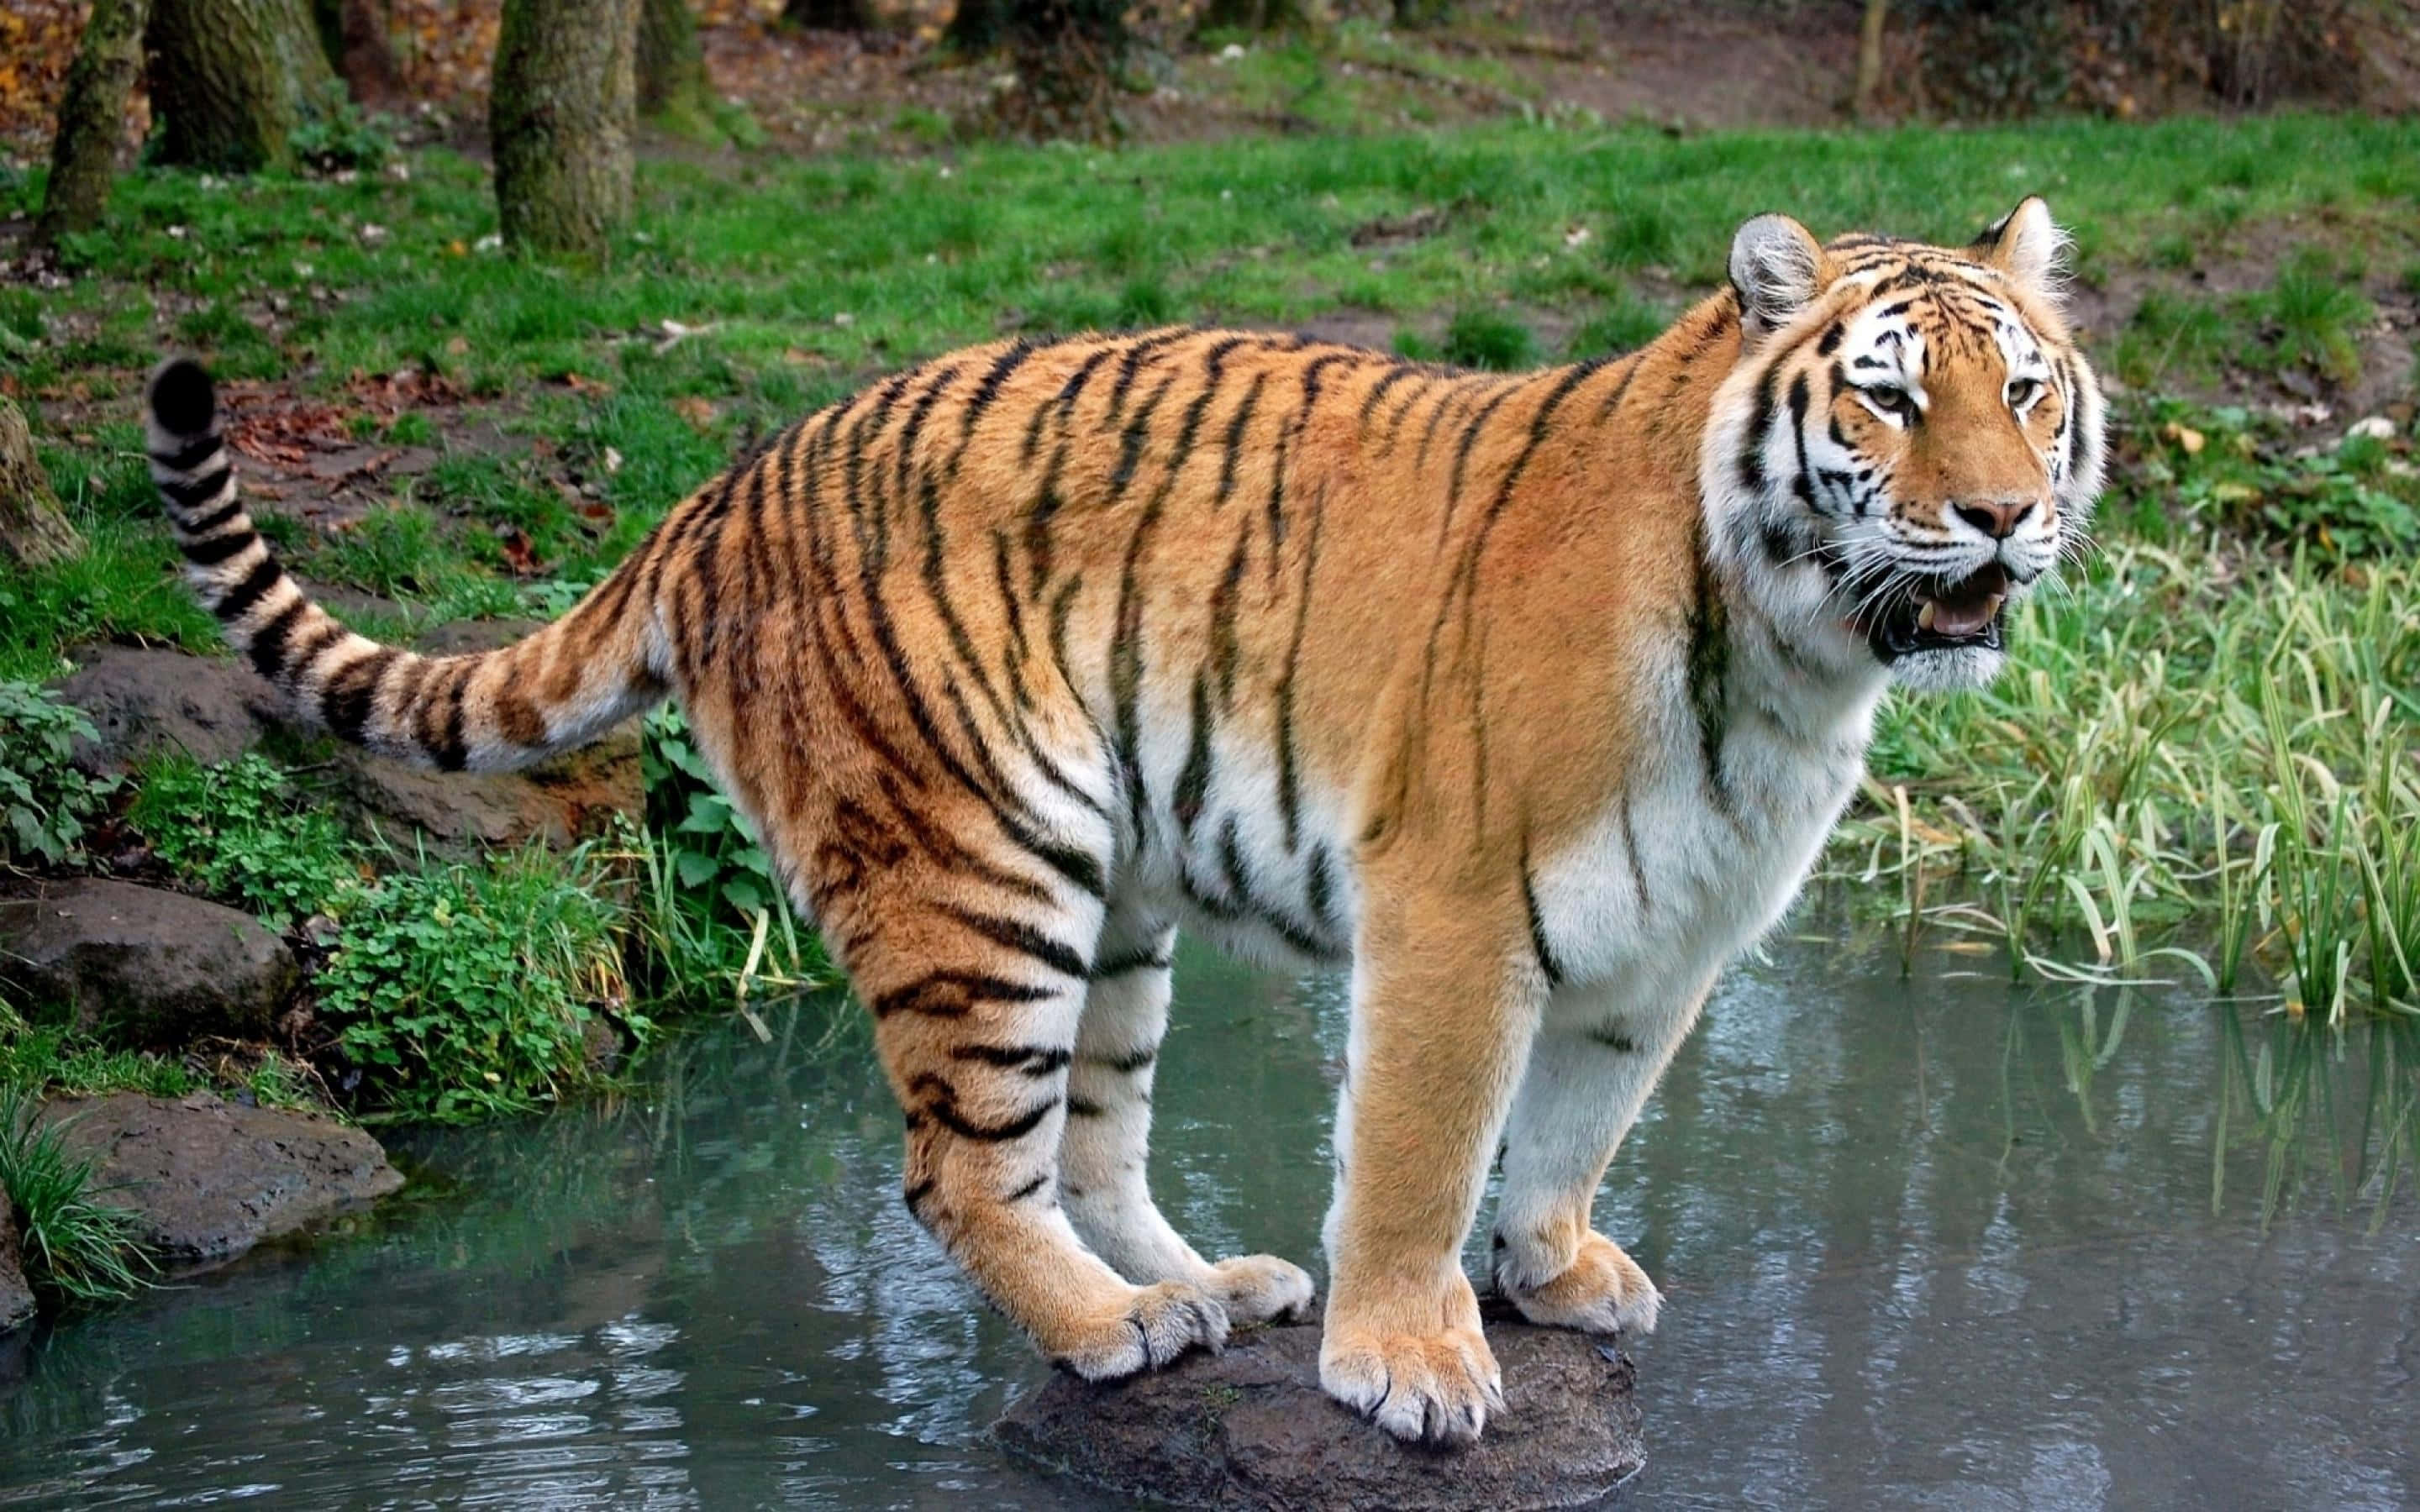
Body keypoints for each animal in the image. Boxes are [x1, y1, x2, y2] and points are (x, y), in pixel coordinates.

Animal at [145, 195, 2101, 1445]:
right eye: (1888, 397)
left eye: (2024, 389)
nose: (2003, 518)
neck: (1794, 658)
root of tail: (722, 483)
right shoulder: (1457, 910)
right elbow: (1424, 1148)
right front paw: (1411, 1361)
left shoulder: (1674, 936)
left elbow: (1575, 1130)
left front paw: (1551, 1276)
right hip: (978, 869)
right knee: (957, 1168)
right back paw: (1114, 1329)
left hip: (1116, 897)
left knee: (1086, 1143)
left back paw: (1213, 1288)